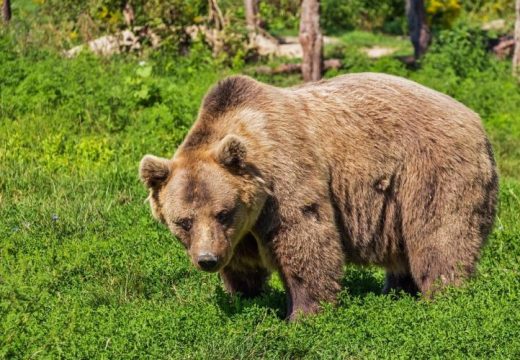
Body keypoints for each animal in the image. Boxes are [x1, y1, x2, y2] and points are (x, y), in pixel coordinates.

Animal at [140, 73, 498, 320]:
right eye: (183, 221)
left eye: (222, 212)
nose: (207, 260)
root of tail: (477, 121)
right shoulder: (241, 229)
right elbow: (242, 264)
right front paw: (245, 297)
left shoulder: (285, 178)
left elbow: (305, 239)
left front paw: (303, 313)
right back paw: (396, 290)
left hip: (431, 171)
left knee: (439, 237)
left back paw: (443, 296)